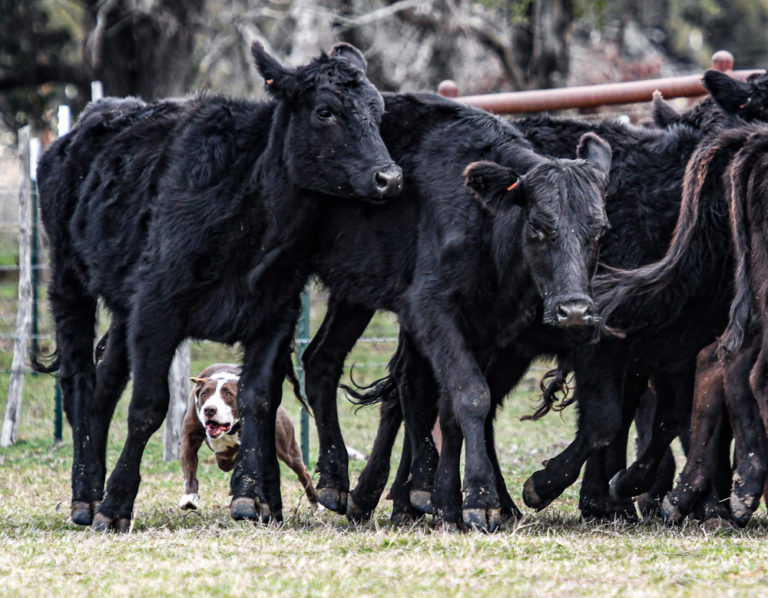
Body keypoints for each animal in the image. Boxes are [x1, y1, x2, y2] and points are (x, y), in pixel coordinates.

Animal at [178, 364, 316, 512]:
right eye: (204, 394)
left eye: (228, 394)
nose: (209, 409)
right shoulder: (190, 438)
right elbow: (189, 470)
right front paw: (189, 497)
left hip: (287, 449)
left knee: (302, 472)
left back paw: (316, 503)